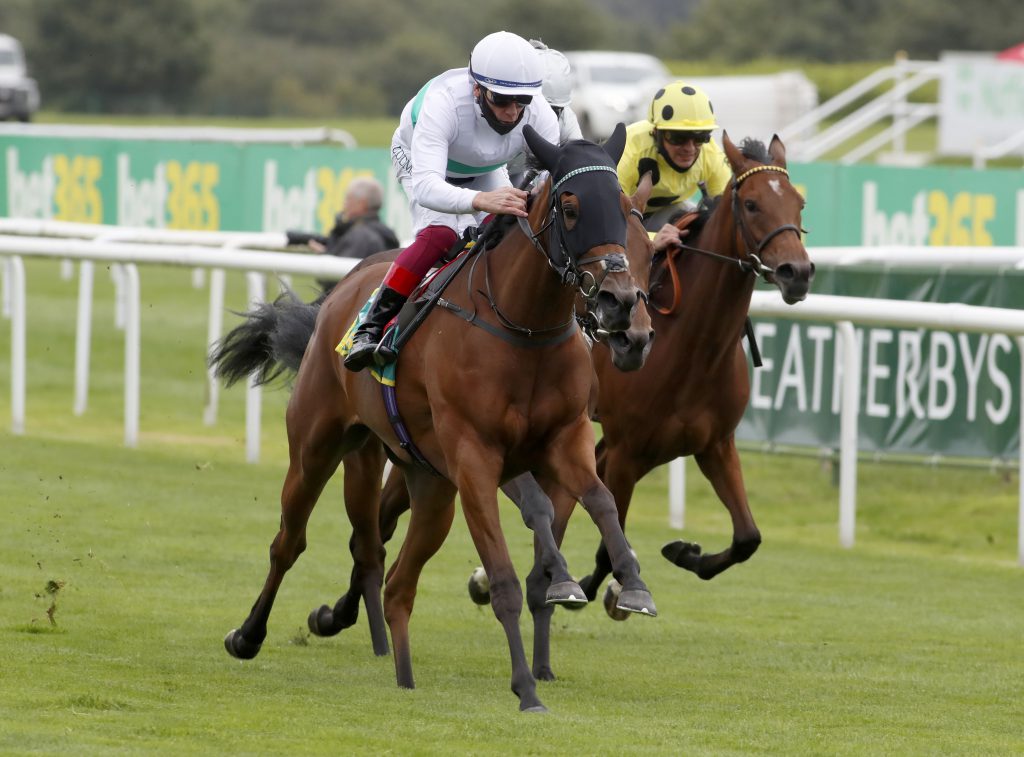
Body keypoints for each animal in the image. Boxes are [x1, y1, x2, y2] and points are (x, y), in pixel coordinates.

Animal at [211, 127, 655, 712]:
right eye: (571, 206)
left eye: (628, 211)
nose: (620, 306)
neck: (523, 327)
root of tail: (343, 289)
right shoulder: (477, 461)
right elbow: (506, 577)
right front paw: (526, 688)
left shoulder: (565, 440)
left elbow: (600, 501)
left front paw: (630, 585)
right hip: (319, 447)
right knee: (293, 542)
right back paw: (248, 635)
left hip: (430, 486)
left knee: (393, 571)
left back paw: (399, 670)